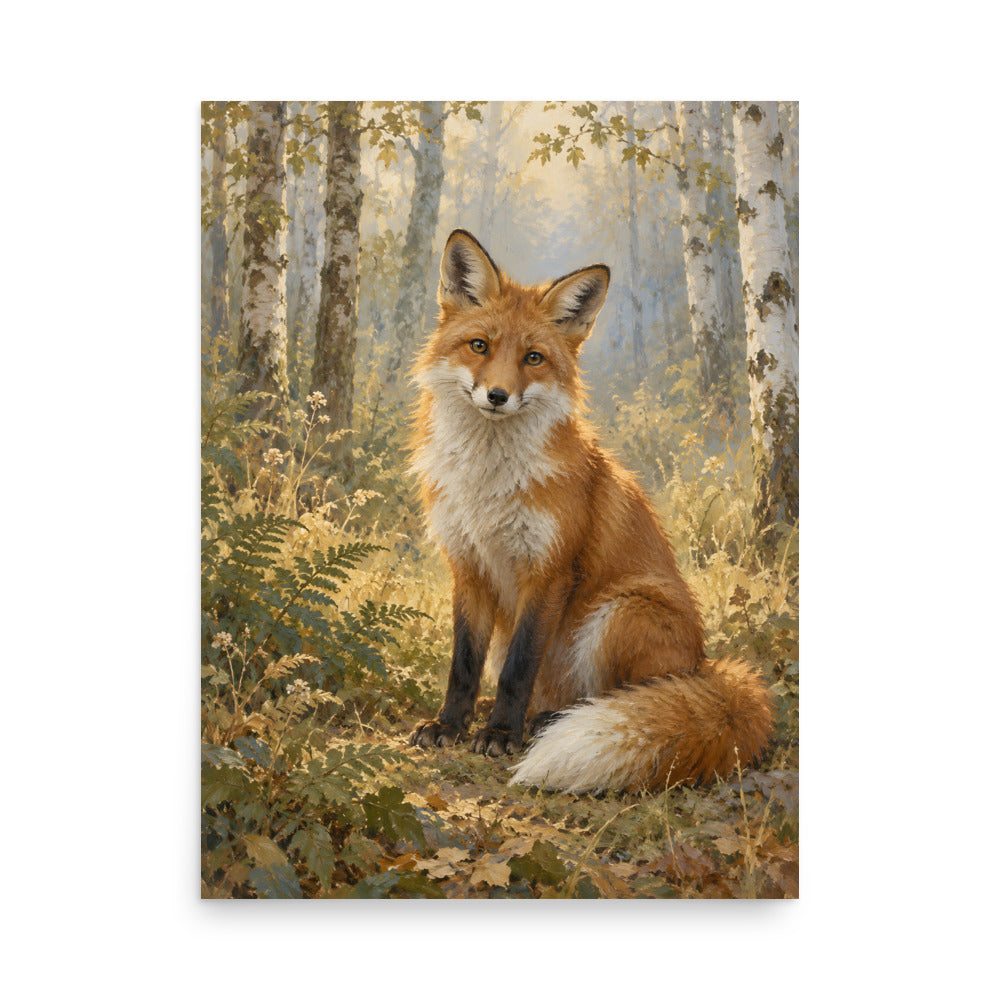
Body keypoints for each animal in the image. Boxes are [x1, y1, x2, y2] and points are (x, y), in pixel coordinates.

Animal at [408, 229, 774, 794]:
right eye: (479, 346)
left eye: (533, 358)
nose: (497, 395)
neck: (489, 484)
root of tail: (704, 666)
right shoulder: (467, 565)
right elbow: (463, 664)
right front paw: (450, 725)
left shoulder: (549, 569)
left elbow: (517, 669)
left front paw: (500, 735)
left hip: (621, 612)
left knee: (615, 698)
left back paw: (545, 723)